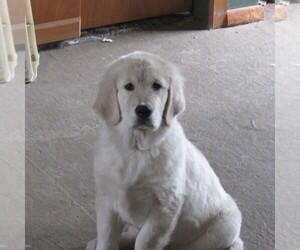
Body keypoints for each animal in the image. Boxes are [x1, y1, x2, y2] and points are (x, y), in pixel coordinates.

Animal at [86, 51, 244, 250]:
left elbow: (144, 241)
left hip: (224, 226)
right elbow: (107, 238)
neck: (136, 149)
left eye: (157, 86)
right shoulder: (107, 199)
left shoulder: (165, 206)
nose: (144, 110)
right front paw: (103, 242)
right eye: (128, 86)